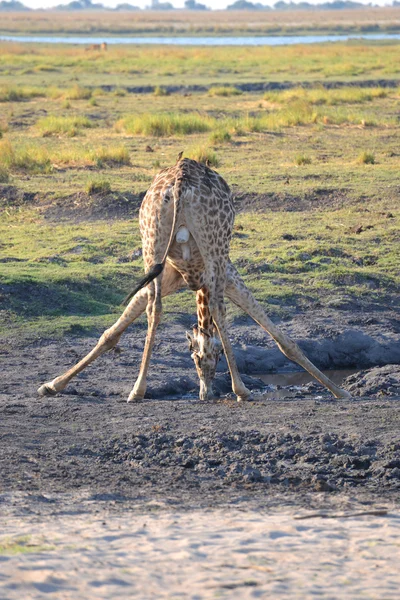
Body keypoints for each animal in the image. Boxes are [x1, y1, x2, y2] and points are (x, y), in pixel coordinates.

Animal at [37, 157, 350, 400]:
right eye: (197, 358)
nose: (205, 393)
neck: (194, 282)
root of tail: (180, 183)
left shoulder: (171, 275)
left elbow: (111, 333)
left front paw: (52, 385)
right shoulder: (227, 274)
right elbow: (281, 338)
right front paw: (341, 391)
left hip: (152, 246)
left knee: (155, 309)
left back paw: (137, 391)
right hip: (216, 249)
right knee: (218, 311)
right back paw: (241, 390)